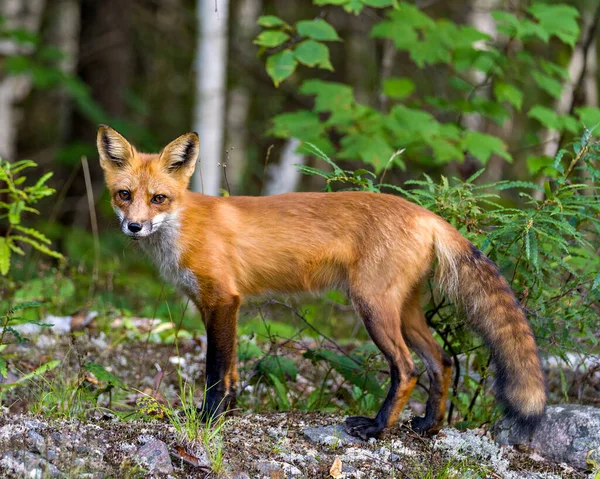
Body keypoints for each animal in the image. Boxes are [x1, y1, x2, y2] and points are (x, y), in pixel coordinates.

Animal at [97, 125, 544, 440]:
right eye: (124, 195)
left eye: (158, 198)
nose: (134, 227)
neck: (183, 227)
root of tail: (425, 213)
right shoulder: (223, 305)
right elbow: (234, 372)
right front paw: (229, 413)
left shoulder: (222, 300)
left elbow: (215, 372)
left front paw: (208, 419)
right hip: (405, 310)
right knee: (443, 362)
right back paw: (428, 426)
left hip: (372, 307)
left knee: (408, 369)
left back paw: (377, 428)